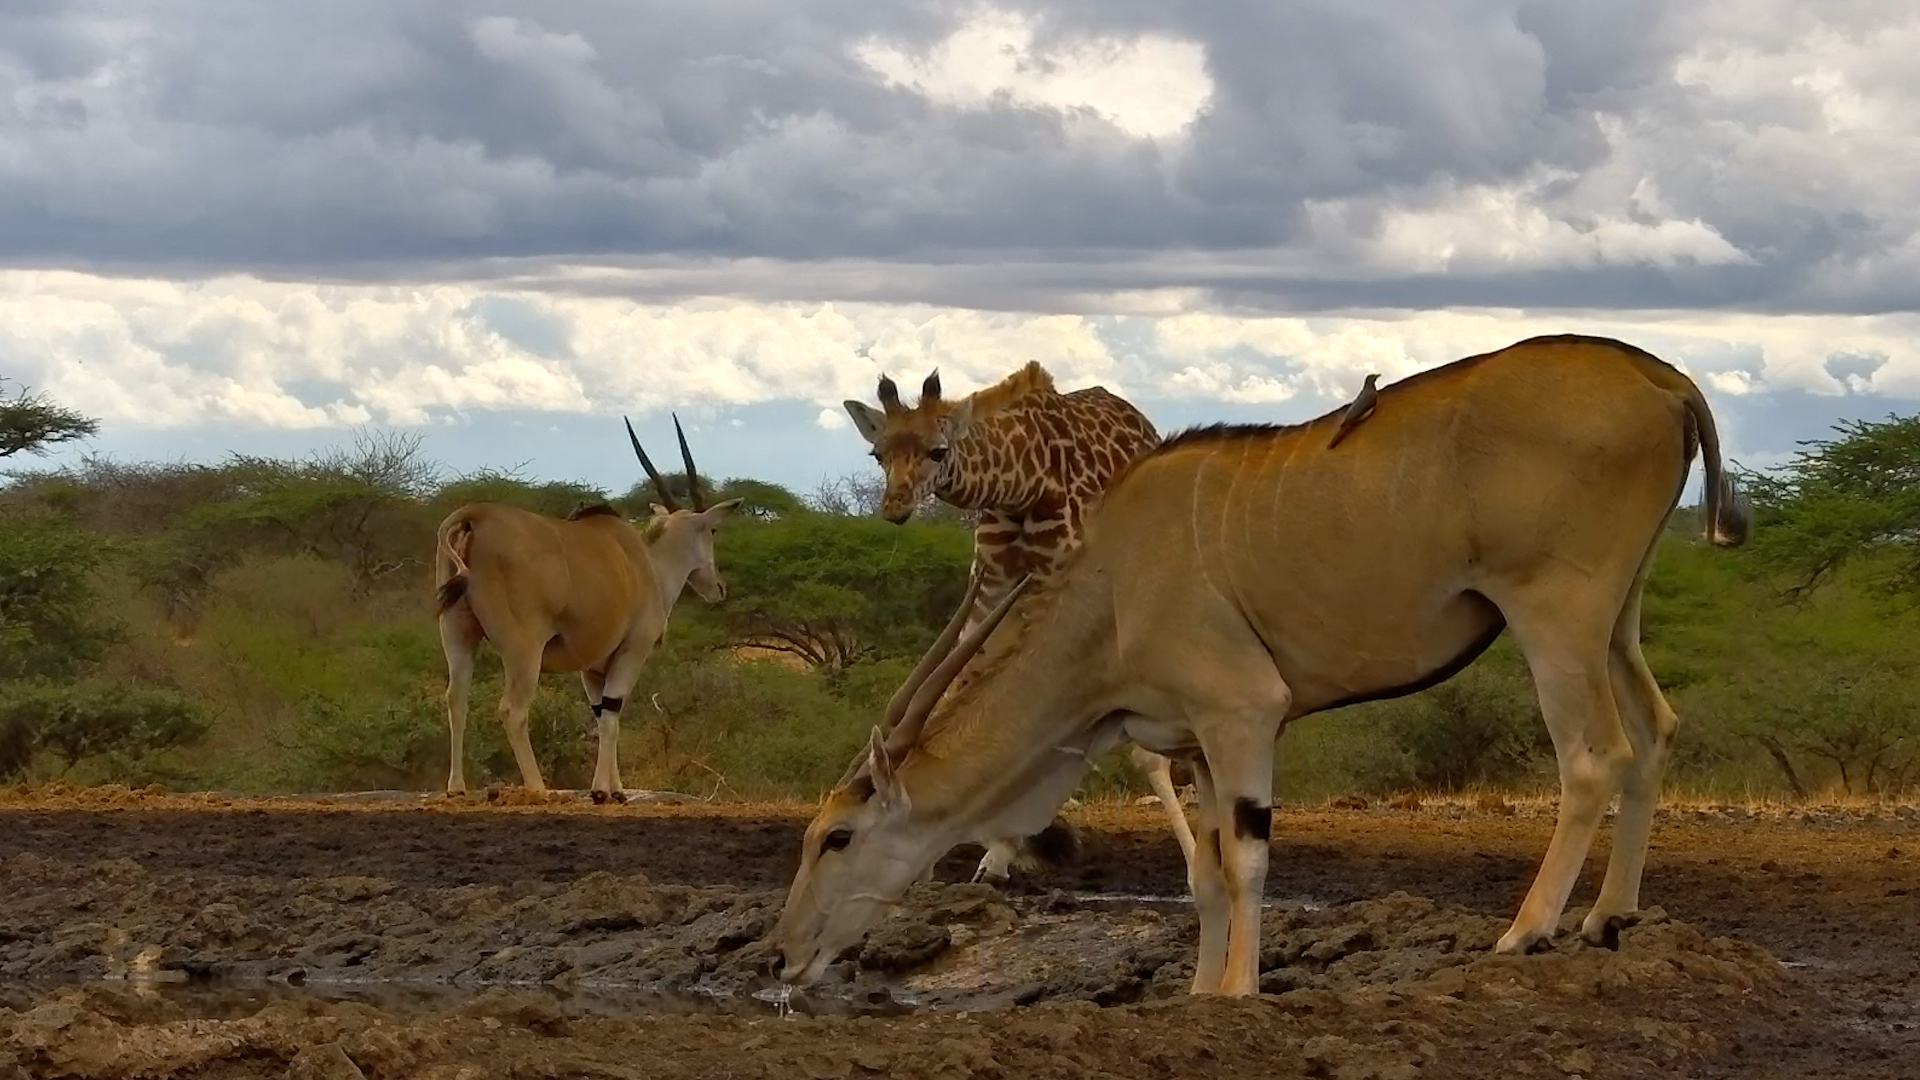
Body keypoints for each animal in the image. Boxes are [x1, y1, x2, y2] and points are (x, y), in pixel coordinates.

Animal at [842, 362, 1198, 883]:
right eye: (878, 453)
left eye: (937, 450)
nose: (895, 507)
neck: (1023, 485)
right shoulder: (992, 585)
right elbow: (969, 687)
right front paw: (977, 855)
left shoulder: (1067, 579)